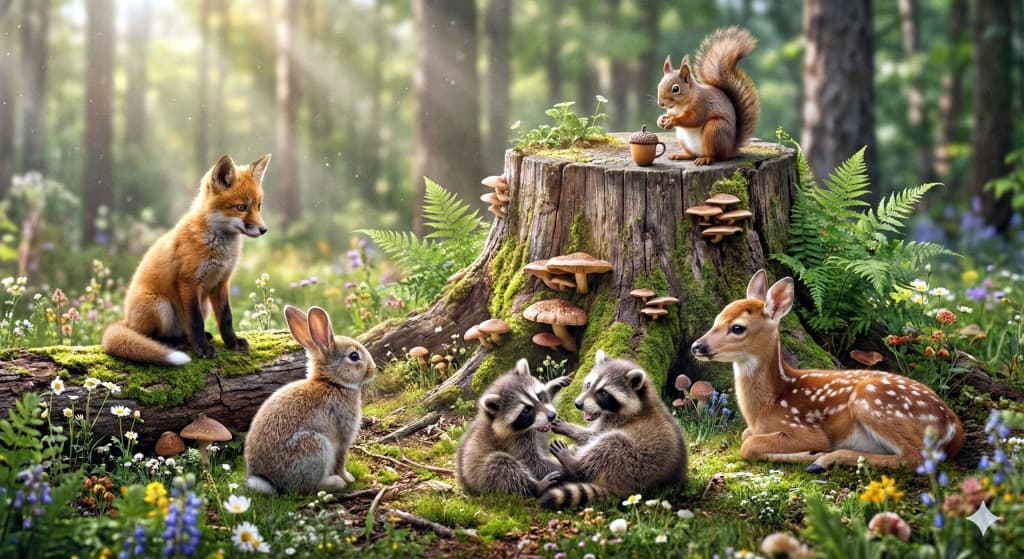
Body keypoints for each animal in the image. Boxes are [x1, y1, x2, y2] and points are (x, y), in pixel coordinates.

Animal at [102, 154, 271, 365]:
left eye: (259, 206)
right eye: (241, 207)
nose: (264, 230)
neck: (219, 247)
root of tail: (127, 321)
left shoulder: (221, 282)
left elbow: (226, 318)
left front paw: (232, 342)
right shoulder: (189, 282)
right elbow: (196, 321)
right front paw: (203, 350)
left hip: (204, 305)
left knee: (185, 331)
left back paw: (193, 338)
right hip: (160, 305)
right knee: (149, 336)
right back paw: (172, 343)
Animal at [244, 305, 375, 494]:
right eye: (354, 356)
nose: (373, 369)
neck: (333, 383)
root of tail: (269, 482)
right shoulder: (343, 438)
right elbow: (340, 462)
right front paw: (348, 478)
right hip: (314, 446)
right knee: (307, 487)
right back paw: (336, 483)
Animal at [691, 269, 964, 472]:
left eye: (737, 328)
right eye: (717, 318)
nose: (697, 346)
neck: (767, 405)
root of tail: (953, 424)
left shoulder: (803, 428)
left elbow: (749, 445)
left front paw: (809, 453)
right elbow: (746, 435)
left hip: (873, 400)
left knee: (916, 457)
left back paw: (822, 460)